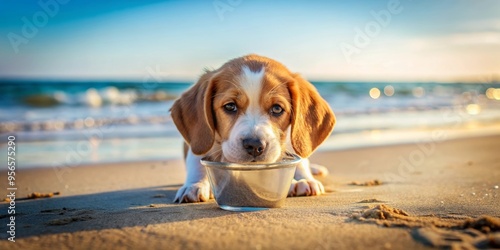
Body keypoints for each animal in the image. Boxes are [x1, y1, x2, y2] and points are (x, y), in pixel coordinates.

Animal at [171, 53, 336, 202]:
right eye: (230, 106)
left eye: (277, 109)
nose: (255, 145)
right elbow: (196, 161)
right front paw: (195, 185)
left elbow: (298, 161)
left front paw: (302, 179)